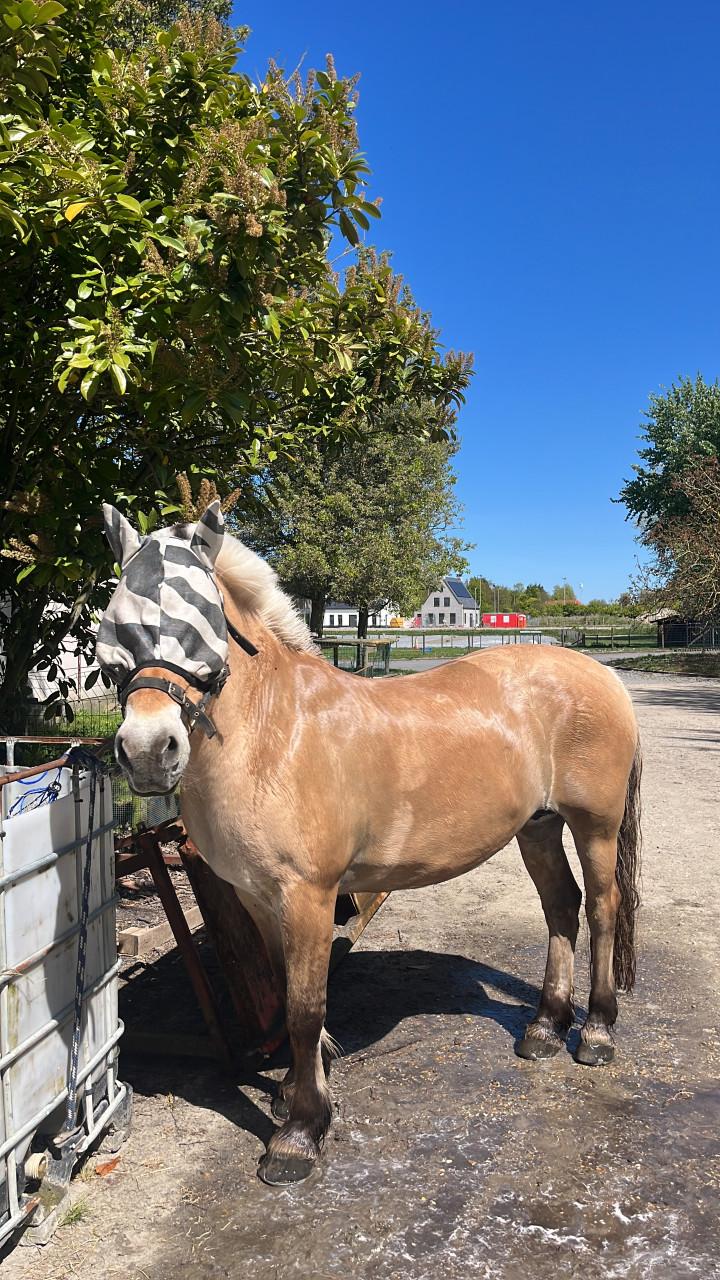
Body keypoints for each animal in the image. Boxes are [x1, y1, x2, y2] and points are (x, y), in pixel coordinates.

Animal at [97, 501, 641, 1185]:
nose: (147, 752)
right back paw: (544, 1028)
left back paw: (596, 1034)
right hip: (537, 827)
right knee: (561, 907)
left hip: (594, 825)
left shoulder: (307, 895)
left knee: (602, 908)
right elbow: (286, 990)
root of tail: (599, 673)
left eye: (198, 619)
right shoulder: (259, 900)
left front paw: (300, 1133)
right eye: (117, 618)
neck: (275, 733)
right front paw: (292, 1093)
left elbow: (305, 1008)